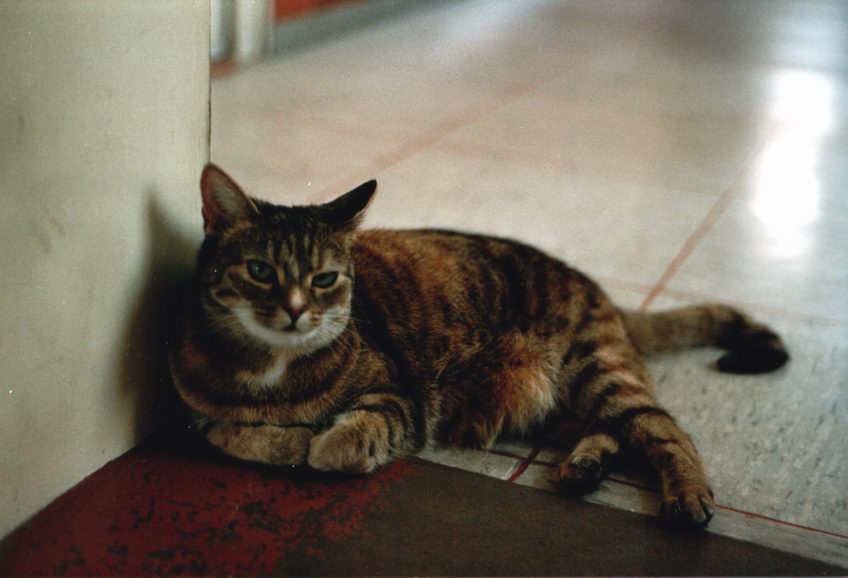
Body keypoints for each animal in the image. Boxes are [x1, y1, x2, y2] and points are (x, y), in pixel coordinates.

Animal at [170, 163, 789, 529]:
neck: (270, 370)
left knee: (663, 429)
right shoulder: (197, 413)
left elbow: (339, 443)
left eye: (324, 279)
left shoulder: (399, 402)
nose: (298, 309)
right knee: (609, 430)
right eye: (259, 271)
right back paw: (583, 467)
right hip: (567, 399)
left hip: (598, 371)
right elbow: (234, 435)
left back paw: (687, 497)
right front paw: (283, 437)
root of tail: (600, 292)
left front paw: (314, 441)